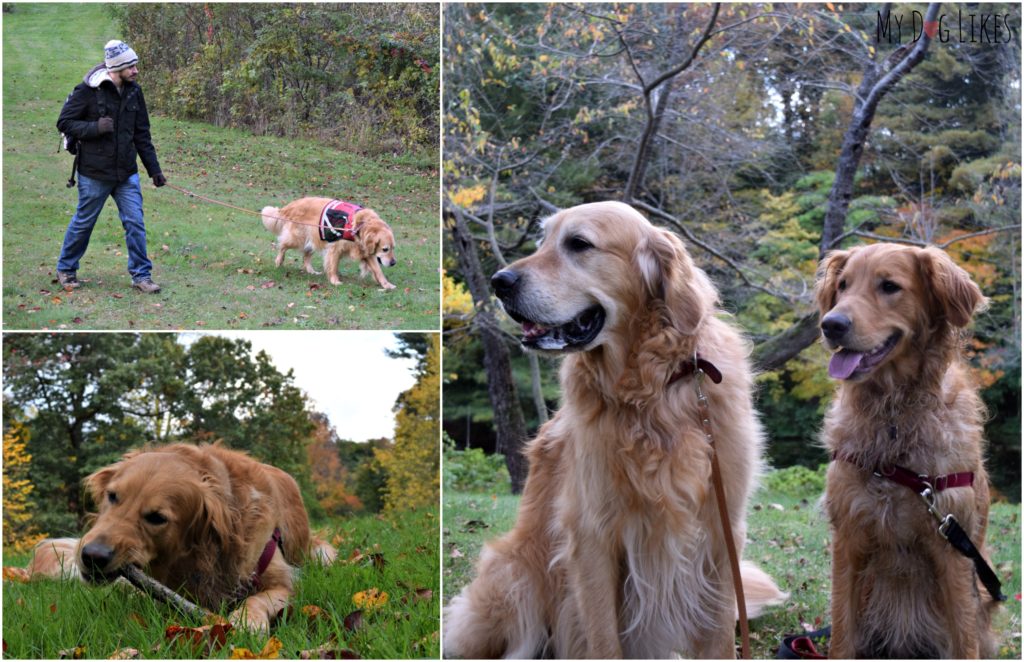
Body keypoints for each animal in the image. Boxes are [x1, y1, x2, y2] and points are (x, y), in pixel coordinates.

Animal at [27, 442, 335, 631]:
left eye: (156, 518)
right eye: (112, 496)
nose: (92, 556)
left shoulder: (282, 581)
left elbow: (257, 600)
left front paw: (246, 621)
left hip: (322, 554)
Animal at [262, 196, 397, 291]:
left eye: (393, 248)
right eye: (385, 249)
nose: (393, 263)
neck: (359, 226)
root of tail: (292, 205)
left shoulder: (366, 251)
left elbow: (378, 271)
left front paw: (387, 285)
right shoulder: (335, 248)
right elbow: (333, 266)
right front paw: (335, 281)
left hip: (312, 240)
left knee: (305, 256)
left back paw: (311, 271)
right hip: (297, 238)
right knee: (282, 245)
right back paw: (279, 261)